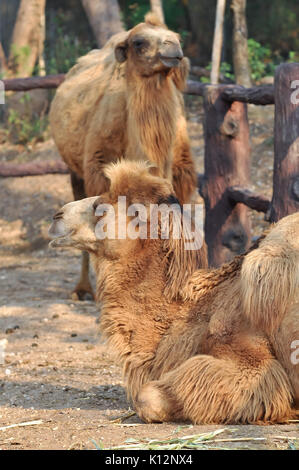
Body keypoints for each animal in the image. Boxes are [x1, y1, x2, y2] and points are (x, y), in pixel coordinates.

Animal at [49, 13, 197, 302]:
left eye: (176, 36)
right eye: (139, 42)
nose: (174, 49)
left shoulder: (181, 177)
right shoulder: (99, 171)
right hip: (74, 170)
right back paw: (83, 289)